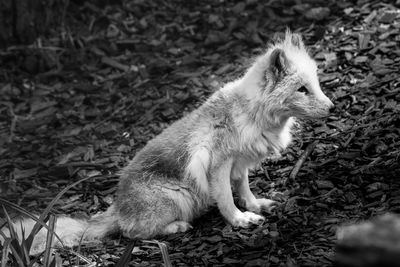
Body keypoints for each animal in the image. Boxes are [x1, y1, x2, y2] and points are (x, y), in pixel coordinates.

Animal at [0, 30, 334, 254]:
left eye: (315, 84)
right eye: (302, 89)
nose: (332, 107)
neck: (250, 113)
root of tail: (116, 207)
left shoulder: (239, 166)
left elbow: (244, 190)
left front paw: (255, 206)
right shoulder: (218, 167)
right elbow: (226, 200)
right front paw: (239, 221)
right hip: (177, 199)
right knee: (131, 234)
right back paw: (176, 227)